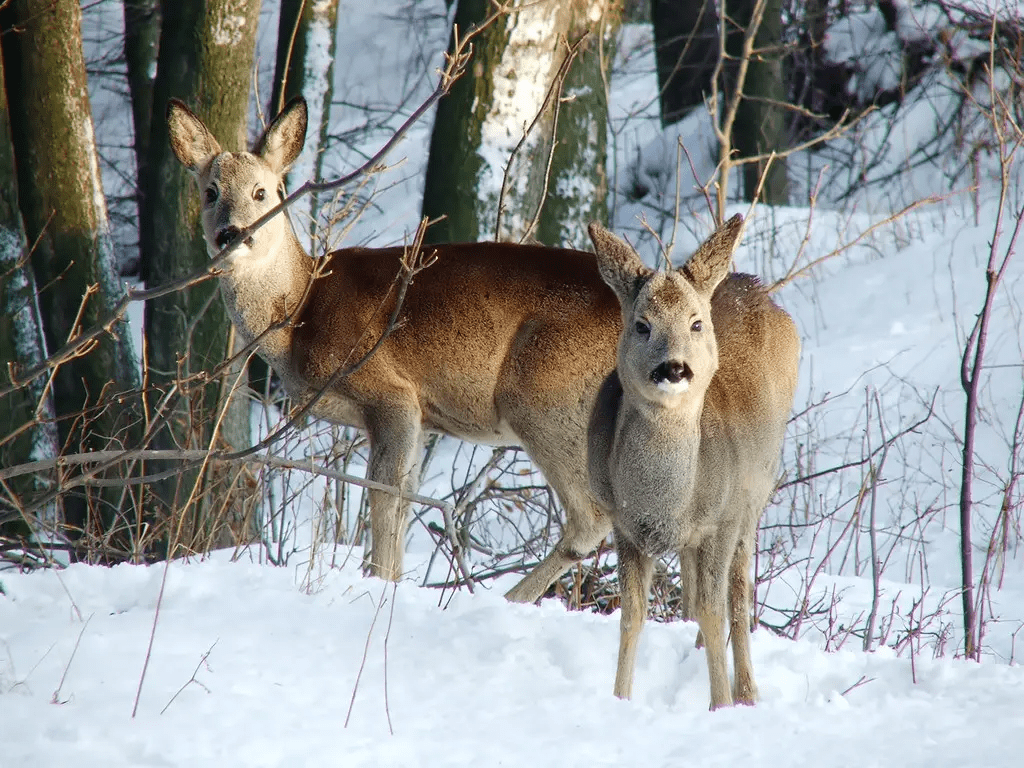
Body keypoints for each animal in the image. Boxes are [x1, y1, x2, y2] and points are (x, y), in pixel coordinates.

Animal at [167, 94, 630, 602]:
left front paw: (381, 583)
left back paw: (508, 597)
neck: (301, 310)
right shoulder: (423, 419)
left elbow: (384, 493)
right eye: (211, 191)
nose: (232, 234)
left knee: (593, 518)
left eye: (263, 192)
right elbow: (406, 499)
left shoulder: (392, 392)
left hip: (544, 395)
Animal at [585, 217, 798, 708]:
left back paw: (747, 691)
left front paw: (719, 704)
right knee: (696, 586)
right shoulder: (624, 525)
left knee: (737, 595)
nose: (674, 368)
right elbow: (632, 614)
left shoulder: (723, 520)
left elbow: (713, 608)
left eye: (696, 323)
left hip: (755, 493)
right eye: (641, 325)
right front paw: (619, 699)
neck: (662, 501)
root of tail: (751, 283)